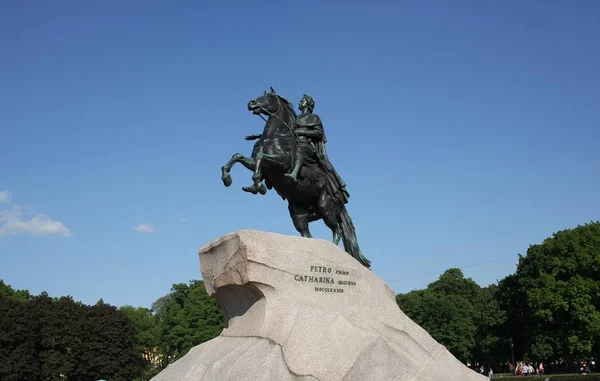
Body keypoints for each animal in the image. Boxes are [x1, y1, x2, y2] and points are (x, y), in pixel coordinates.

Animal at [220, 88, 370, 268]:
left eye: (268, 97)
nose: (251, 103)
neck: (274, 136)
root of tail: (341, 198)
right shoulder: (254, 162)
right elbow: (238, 156)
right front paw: (227, 178)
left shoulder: (281, 163)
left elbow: (261, 159)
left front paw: (258, 185)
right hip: (298, 214)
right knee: (307, 234)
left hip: (325, 208)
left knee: (337, 231)